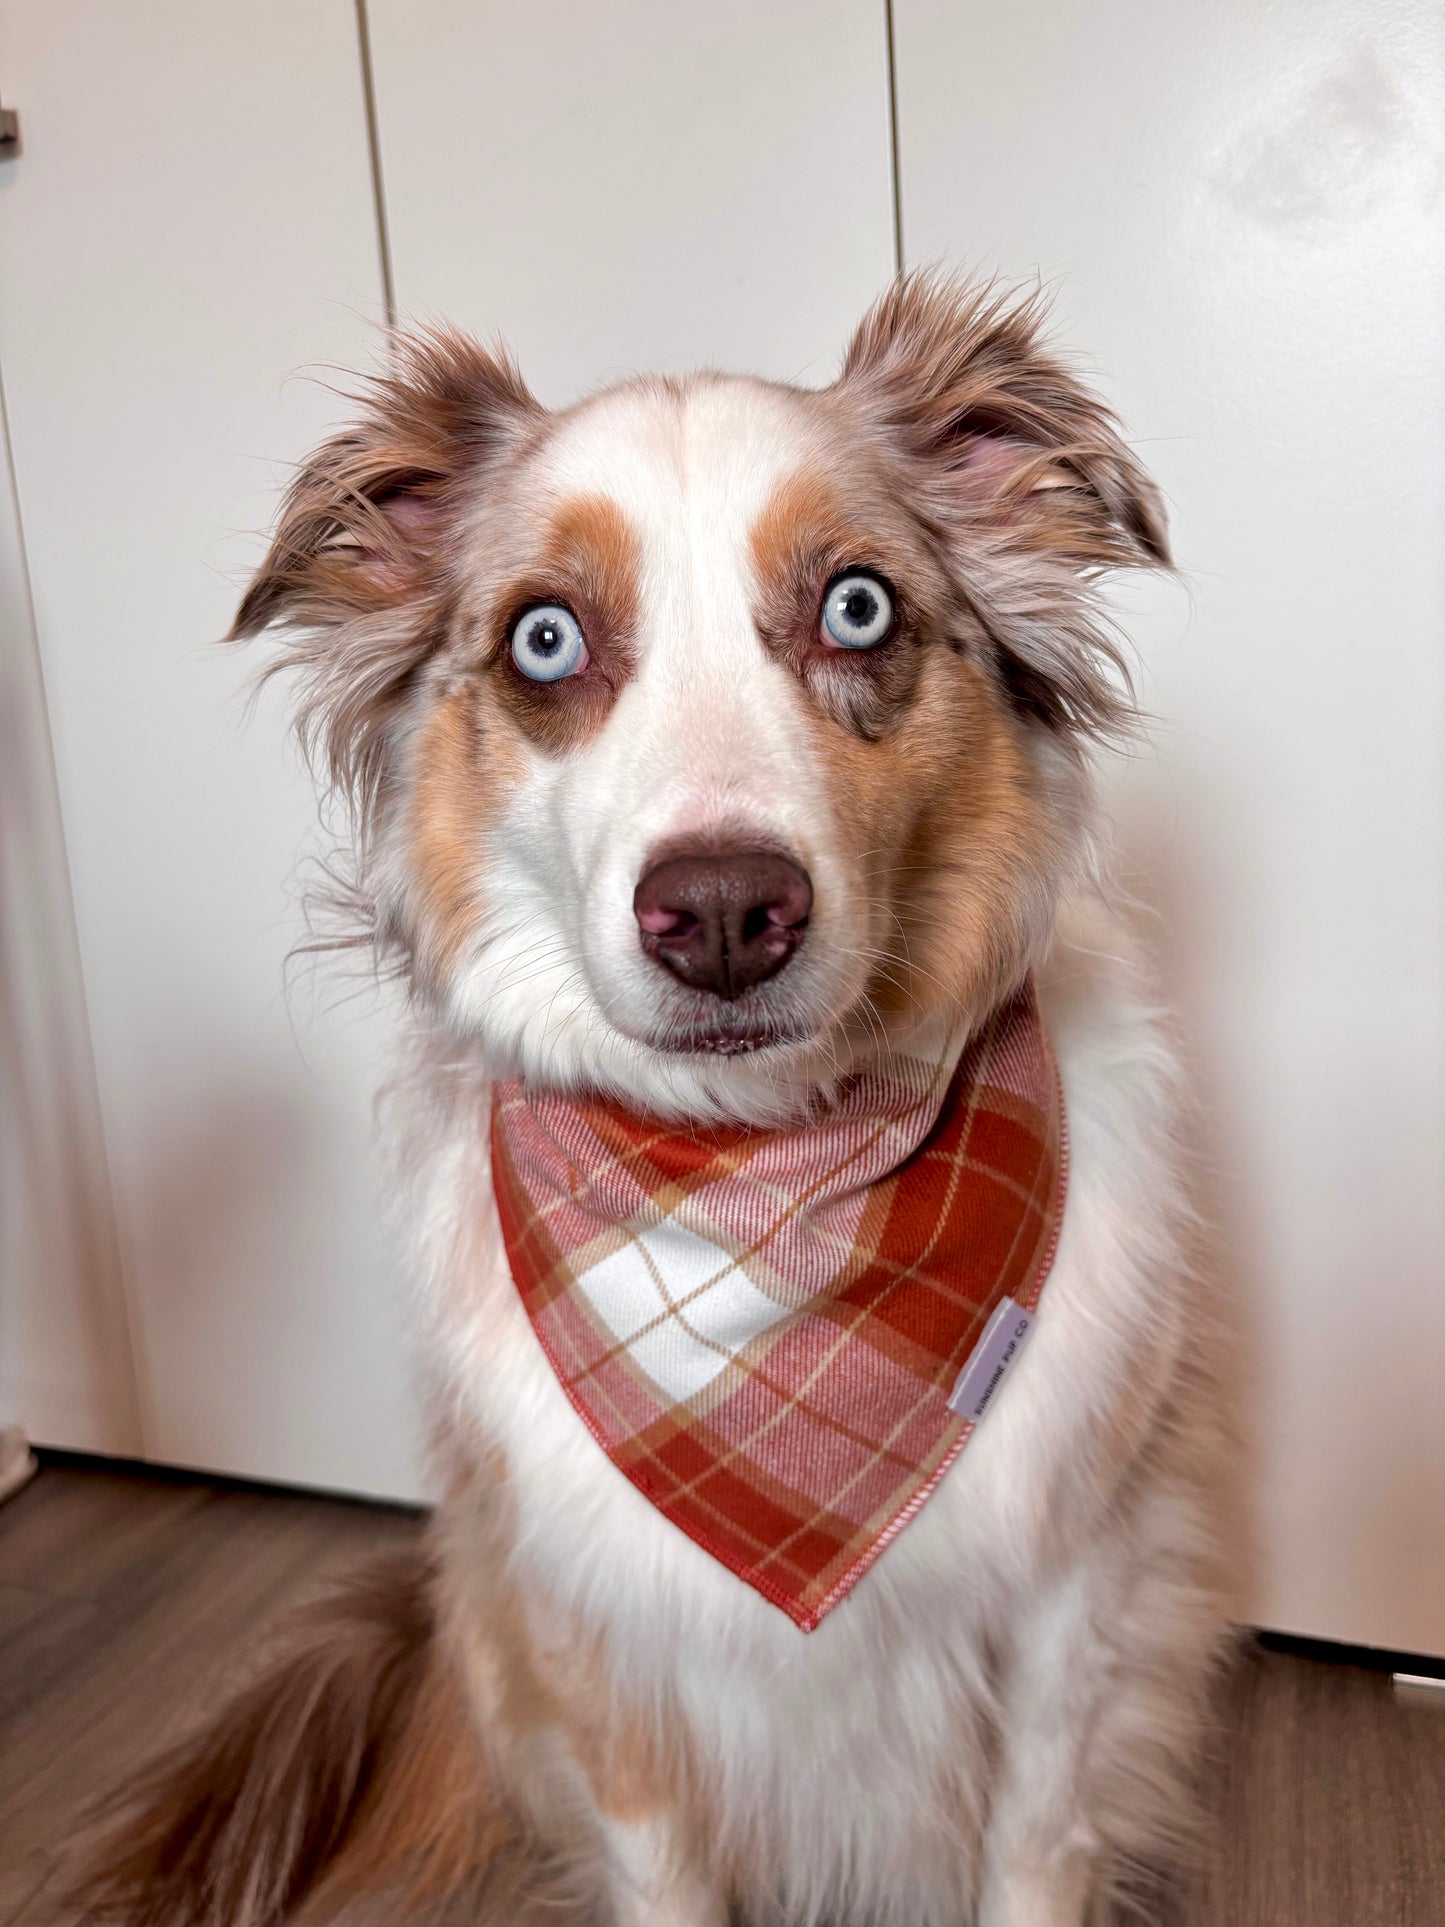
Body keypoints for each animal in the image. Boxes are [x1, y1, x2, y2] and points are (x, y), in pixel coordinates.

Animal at [76, 275, 1233, 1927]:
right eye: (545, 638)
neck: (758, 1189)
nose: (727, 913)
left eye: (857, 606)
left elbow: (1030, 1850)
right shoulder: (605, 1650)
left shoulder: (1074, 1605)